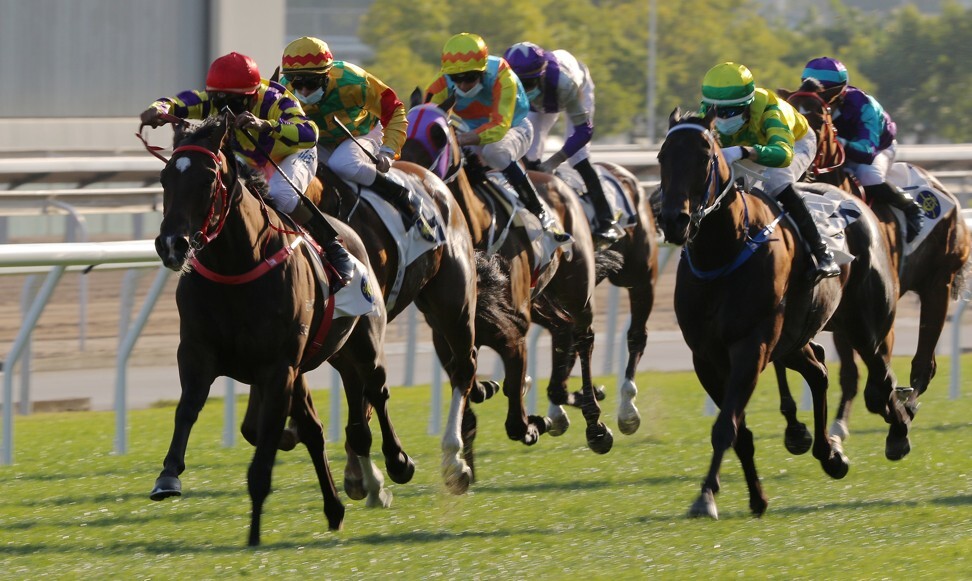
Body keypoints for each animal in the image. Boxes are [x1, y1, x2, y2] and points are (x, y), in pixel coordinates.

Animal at [149, 116, 398, 544]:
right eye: (165, 177)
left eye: (208, 177)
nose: (172, 244)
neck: (236, 265)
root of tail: (348, 231)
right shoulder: (198, 352)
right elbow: (188, 408)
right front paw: (168, 476)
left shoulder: (278, 368)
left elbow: (262, 461)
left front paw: (253, 537)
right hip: (305, 368)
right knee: (314, 430)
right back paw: (334, 508)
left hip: (362, 343)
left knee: (377, 391)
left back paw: (398, 464)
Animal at [656, 107, 900, 516]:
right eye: (661, 157)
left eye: (705, 157)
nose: (674, 220)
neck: (722, 251)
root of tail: (855, 203)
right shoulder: (706, 357)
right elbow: (739, 430)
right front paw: (753, 497)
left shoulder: (750, 346)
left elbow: (726, 426)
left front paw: (706, 497)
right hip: (793, 337)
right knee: (819, 371)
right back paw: (829, 454)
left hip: (863, 324)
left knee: (881, 374)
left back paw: (898, 431)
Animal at [784, 81, 972, 444]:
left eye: (819, 118)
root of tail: (946, 192)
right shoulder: (836, 318)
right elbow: (847, 372)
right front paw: (836, 427)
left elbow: (879, 375)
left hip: (937, 284)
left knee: (923, 363)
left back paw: (907, 404)